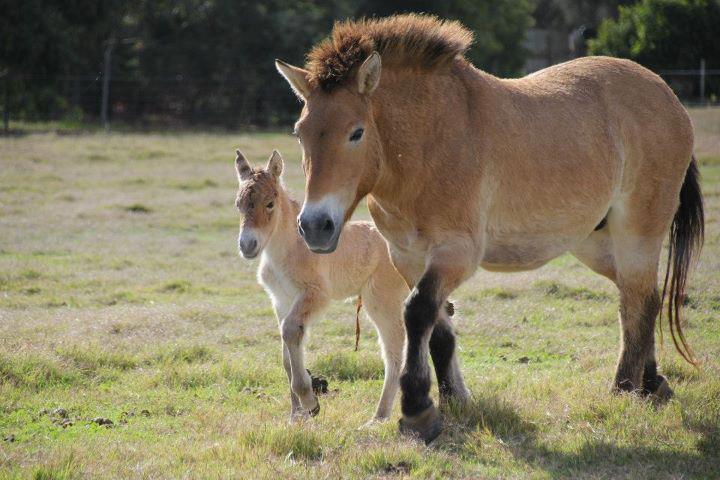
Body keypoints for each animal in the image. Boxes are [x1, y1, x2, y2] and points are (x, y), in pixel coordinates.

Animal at [233, 149, 408, 420]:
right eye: (238, 204)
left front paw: (310, 402)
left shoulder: (316, 295)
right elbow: (286, 354)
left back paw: (378, 417)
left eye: (270, 203)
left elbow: (290, 331)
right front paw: (295, 415)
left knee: (394, 350)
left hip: (381, 299)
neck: (288, 249)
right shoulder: (281, 300)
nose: (248, 245)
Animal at [274, 14, 704, 442]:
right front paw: (452, 401)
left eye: (356, 132)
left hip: (637, 231)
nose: (315, 226)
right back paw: (652, 383)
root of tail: (666, 95)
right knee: (641, 295)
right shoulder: (408, 256)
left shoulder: (457, 254)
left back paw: (624, 388)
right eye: (300, 133)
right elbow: (438, 327)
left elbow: (417, 312)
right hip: (595, 242)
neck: (431, 143)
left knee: (638, 299)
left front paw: (417, 411)